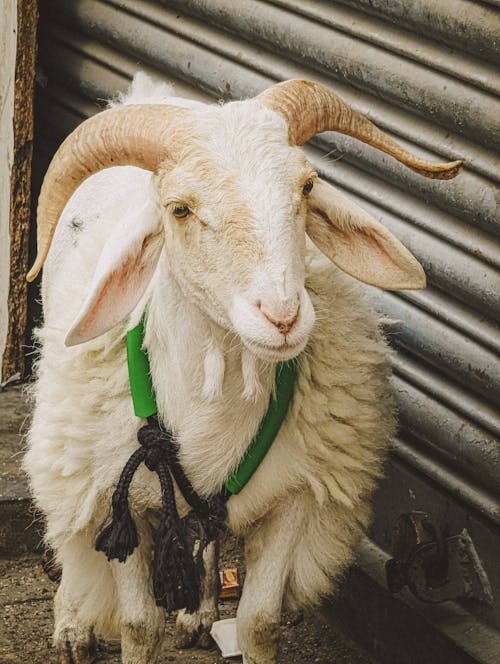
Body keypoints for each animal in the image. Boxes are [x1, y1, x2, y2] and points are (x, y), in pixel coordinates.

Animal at [23, 74, 460, 664]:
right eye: (180, 209)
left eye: (306, 187)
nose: (283, 316)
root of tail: (147, 90)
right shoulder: (121, 508)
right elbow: (139, 625)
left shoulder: (295, 498)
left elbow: (259, 622)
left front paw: (217, 617)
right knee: (68, 524)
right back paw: (73, 624)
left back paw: (199, 611)